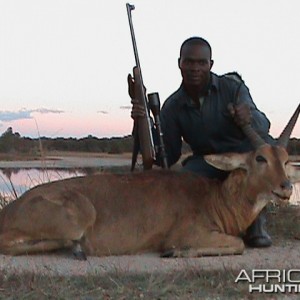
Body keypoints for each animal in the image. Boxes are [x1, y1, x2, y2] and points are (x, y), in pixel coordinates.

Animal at [0, 106, 298, 260]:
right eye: (260, 157)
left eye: (285, 160)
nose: (286, 187)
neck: (215, 199)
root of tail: (12, 208)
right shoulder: (188, 233)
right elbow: (238, 244)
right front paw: (173, 252)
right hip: (76, 221)